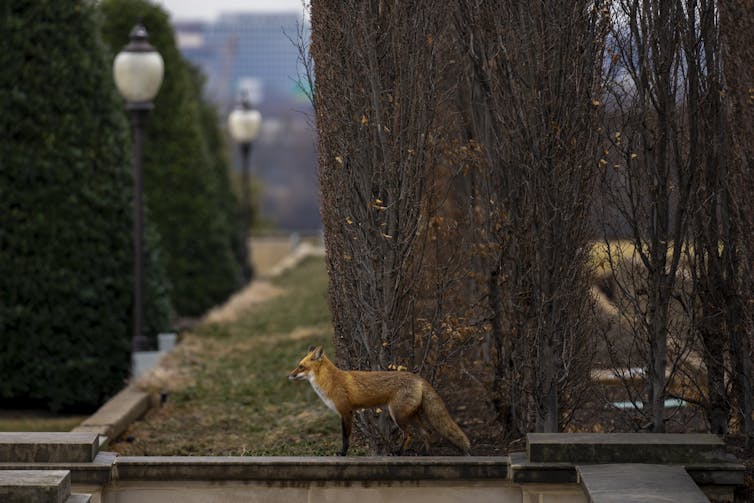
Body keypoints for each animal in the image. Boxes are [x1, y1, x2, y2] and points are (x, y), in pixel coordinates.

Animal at [284, 346, 468, 456]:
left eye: (301, 366)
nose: (289, 375)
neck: (331, 381)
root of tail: (418, 378)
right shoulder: (345, 413)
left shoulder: (346, 411)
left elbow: (345, 437)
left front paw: (343, 454)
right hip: (412, 415)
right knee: (426, 433)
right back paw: (426, 455)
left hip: (398, 415)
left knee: (410, 435)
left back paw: (399, 453)